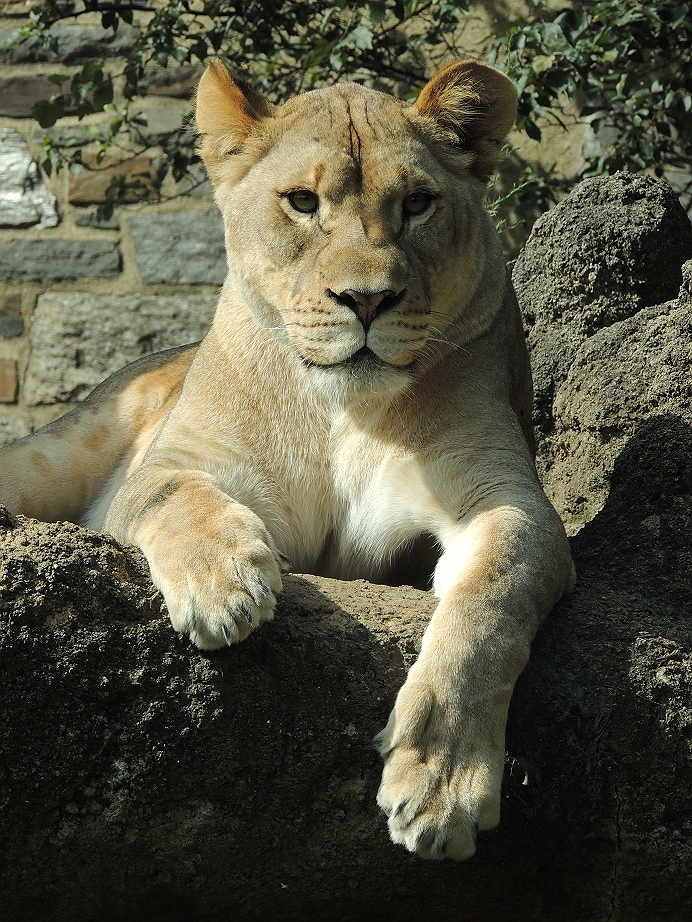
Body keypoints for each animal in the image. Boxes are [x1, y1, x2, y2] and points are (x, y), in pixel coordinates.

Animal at [0, 59, 574, 861]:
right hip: (58, 450)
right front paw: (225, 585)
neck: (341, 412)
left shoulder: (505, 499)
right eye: (303, 202)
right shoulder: (174, 464)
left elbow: (486, 610)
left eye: (417, 204)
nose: (367, 300)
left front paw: (441, 782)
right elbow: (178, 498)